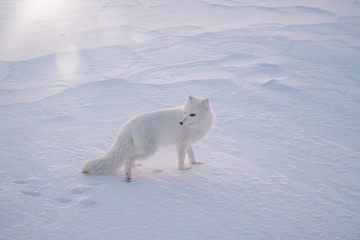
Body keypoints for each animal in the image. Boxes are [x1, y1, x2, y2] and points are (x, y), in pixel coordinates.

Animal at [82, 94, 214, 182]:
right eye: (185, 112)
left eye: (192, 114)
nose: (180, 123)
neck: (197, 126)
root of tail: (128, 125)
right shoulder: (181, 144)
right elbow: (181, 159)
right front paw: (183, 170)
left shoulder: (187, 143)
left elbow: (191, 154)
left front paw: (195, 163)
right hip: (149, 151)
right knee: (129, 158)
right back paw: (128, 176)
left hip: (138, 148)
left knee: (129, 158)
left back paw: (134, 167)